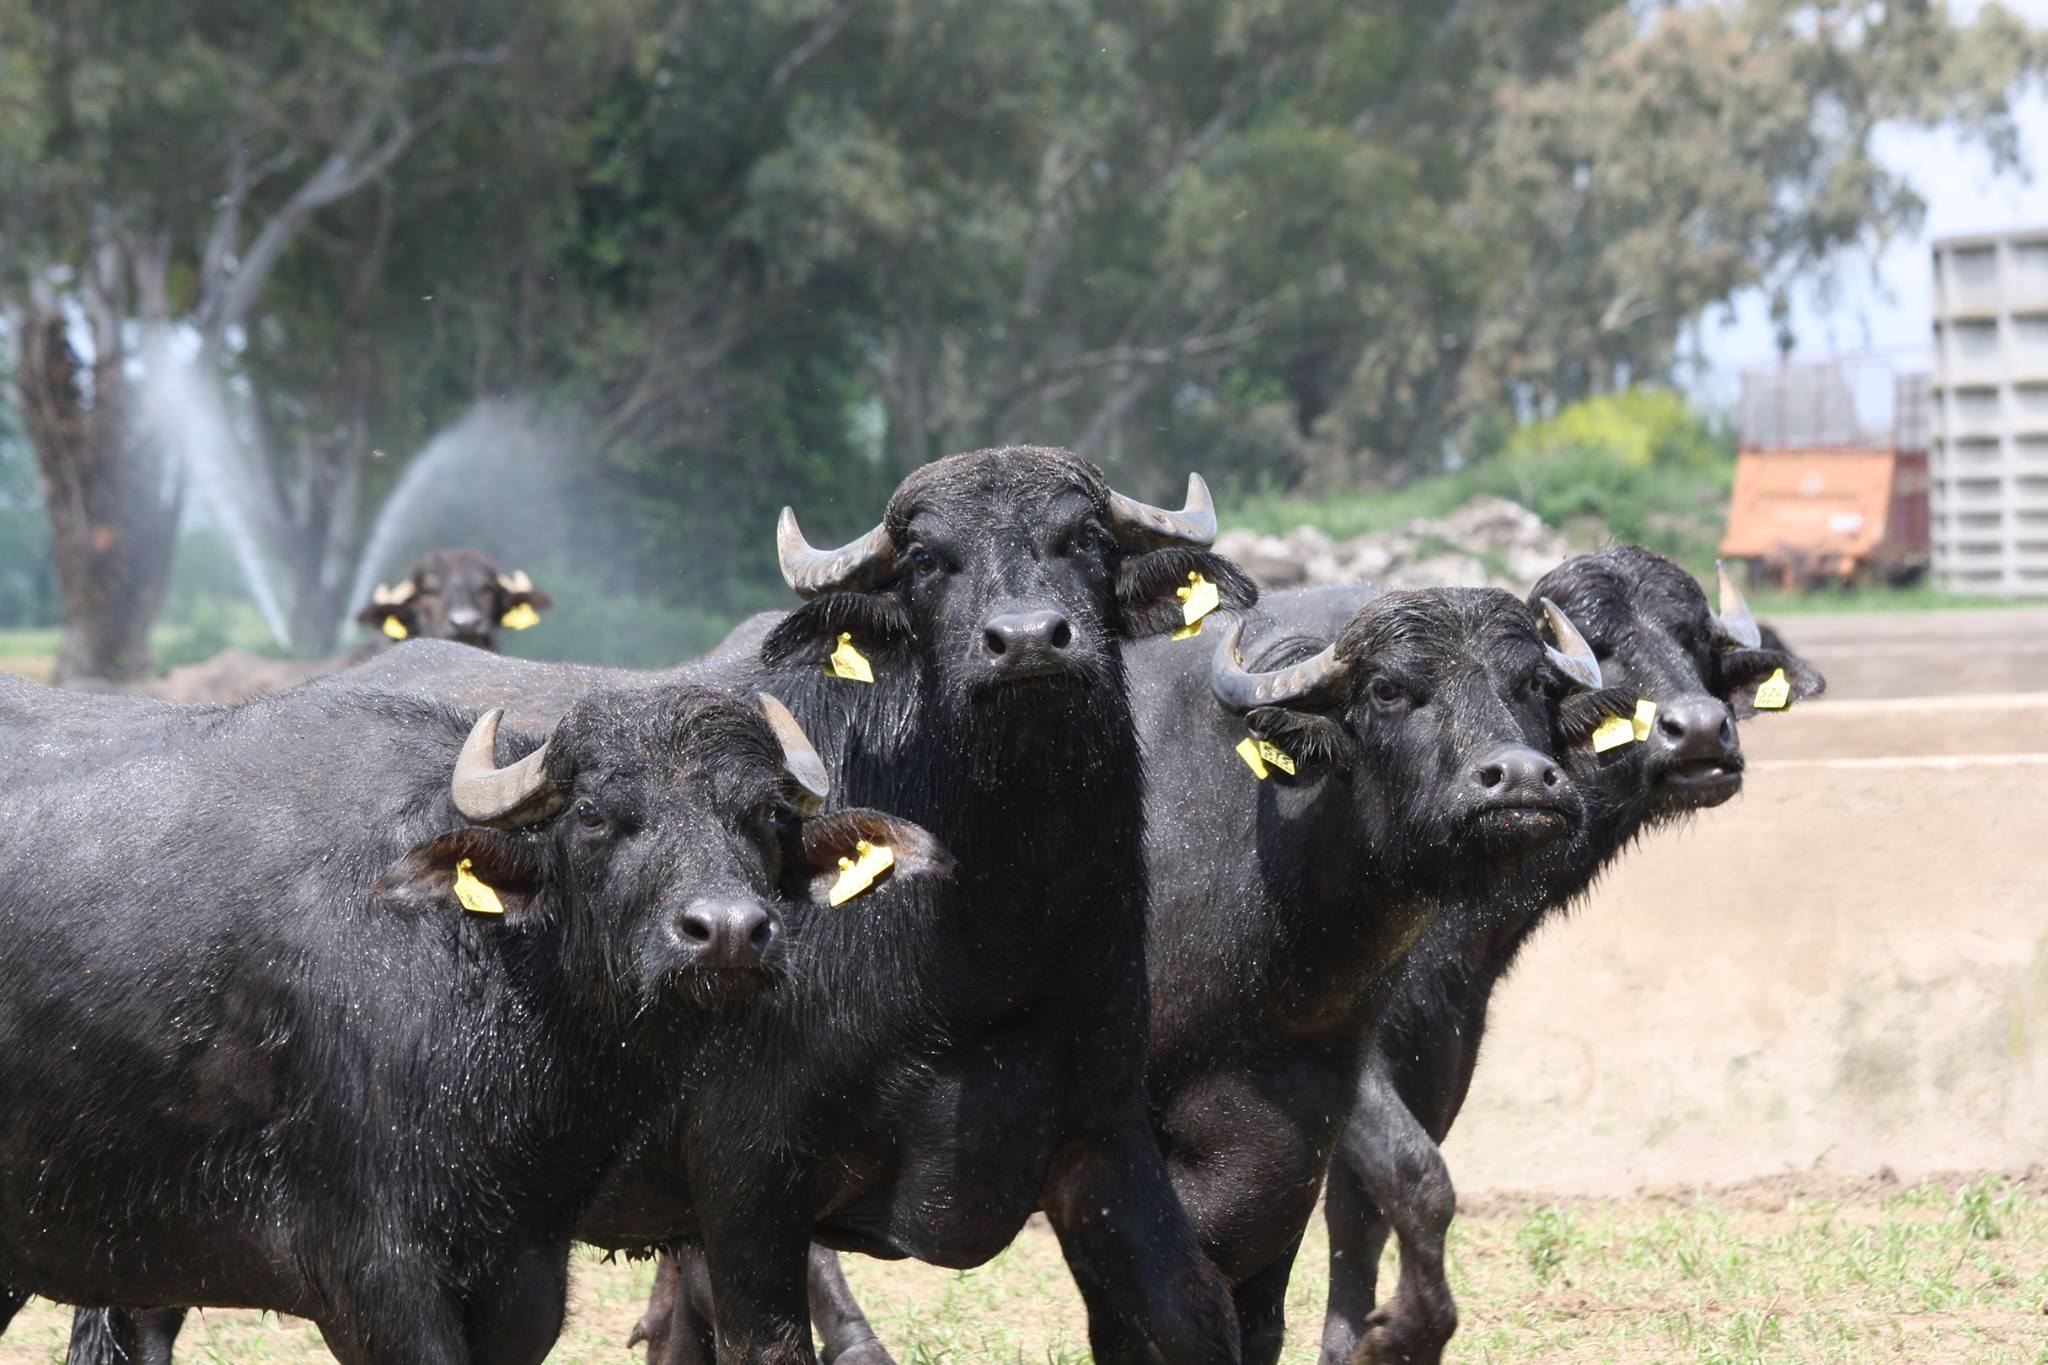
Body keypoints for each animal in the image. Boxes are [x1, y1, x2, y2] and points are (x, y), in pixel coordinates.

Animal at [1310, 548, 1826, 1365]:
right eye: (1598, 644)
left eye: (1695, 638)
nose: (1700, 732)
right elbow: (1418, 1178)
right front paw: (1402, 1332)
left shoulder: (1436, 1061)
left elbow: (1363, 1212)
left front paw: (1364, 1337)